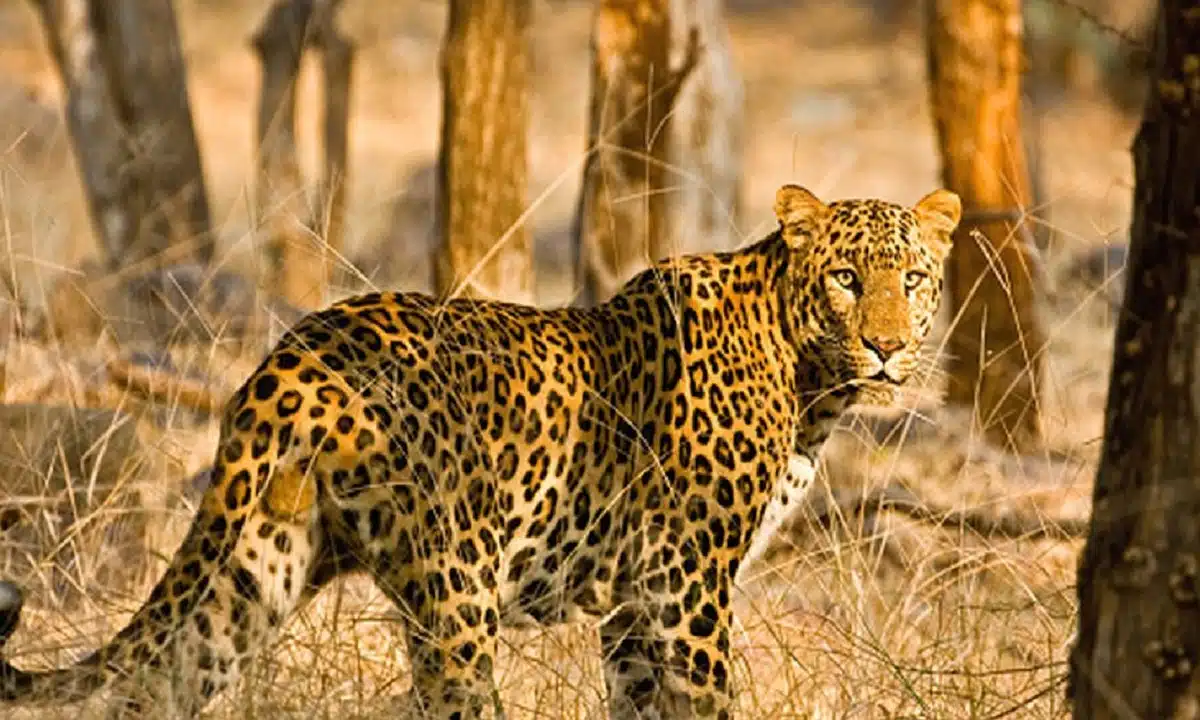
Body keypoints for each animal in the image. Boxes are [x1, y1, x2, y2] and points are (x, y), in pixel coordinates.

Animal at [0, 184, 961, 719]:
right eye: (845, 279)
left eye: (912, 279)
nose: (884, 347)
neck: (811, 385)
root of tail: (293, 355)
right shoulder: (684, 578)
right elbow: (707, 701)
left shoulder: (632, 604)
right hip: (456, 584)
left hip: (257, 565)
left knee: (156, 685)